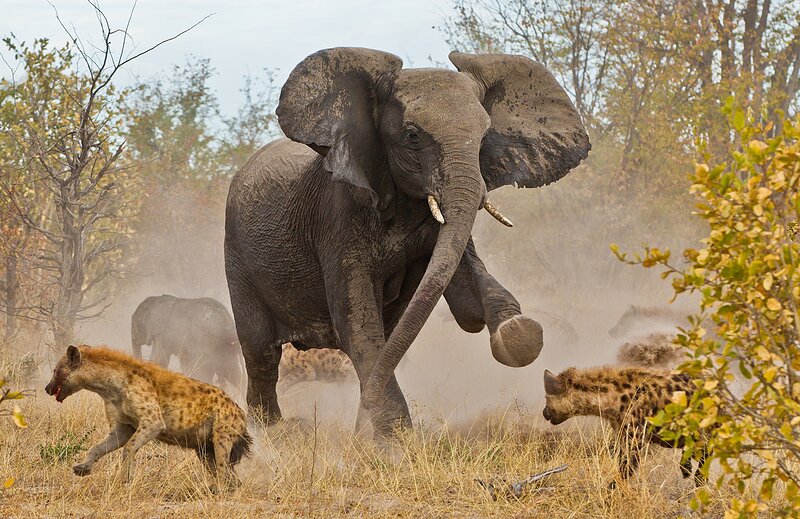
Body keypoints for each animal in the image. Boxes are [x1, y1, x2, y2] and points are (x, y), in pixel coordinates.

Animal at [224, 48, 590, 436]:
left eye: (483, 138)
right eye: (412, 136)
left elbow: (465, 298)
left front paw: (517, 332)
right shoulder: (338, 214)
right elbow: (356, 321)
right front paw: (394, 439)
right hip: (237, 256)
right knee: (261, 352)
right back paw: (268, 432)